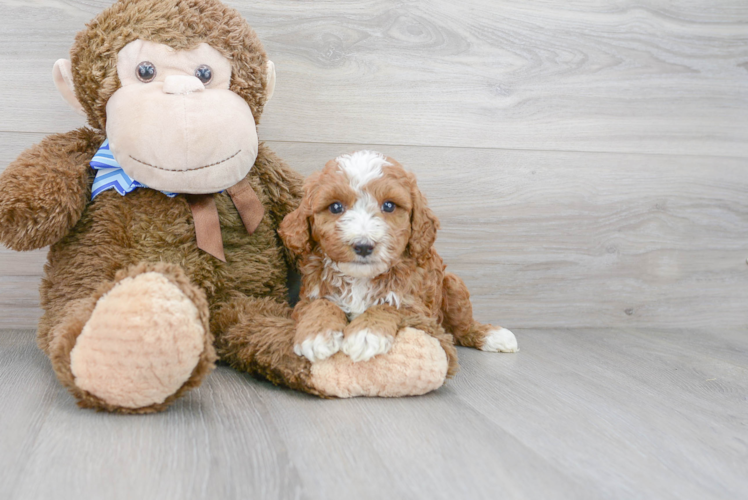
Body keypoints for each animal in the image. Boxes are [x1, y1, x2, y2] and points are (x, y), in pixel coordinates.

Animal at [278, 150, 516, 362]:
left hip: (453, 285)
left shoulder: (417, 307)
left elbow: (388, 305)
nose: (363, 246)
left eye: (389, 205)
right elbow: (320, 304)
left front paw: (366, 334)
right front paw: (316, 335)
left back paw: (493, 336)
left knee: (462, 327)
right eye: (336, 207)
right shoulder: (308, 297)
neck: (360, 278)